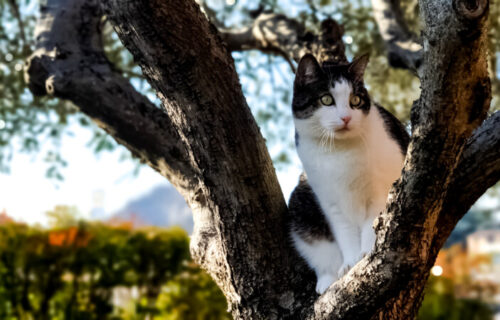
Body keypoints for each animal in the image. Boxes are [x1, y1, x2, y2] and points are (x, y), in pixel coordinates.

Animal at [288, 53, 408, 294]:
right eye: (326, 99)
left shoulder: (382, 188)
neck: (339, 151)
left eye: (355, 101)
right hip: (300, 200)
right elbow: (344, 233)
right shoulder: (330, 202)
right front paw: (352, 261)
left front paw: (367, 251)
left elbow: (373, 222)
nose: (346, 118)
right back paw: (328, 279)